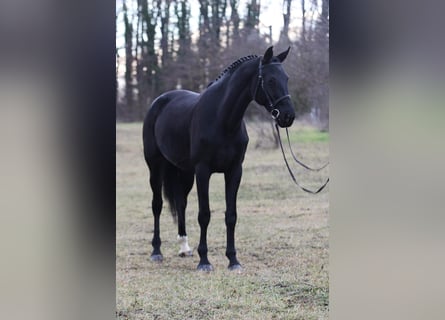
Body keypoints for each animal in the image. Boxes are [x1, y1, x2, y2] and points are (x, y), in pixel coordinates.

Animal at [143, 46, 294, 272]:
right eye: (270, 80)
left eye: (286, 78)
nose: (288, 116)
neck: (222, 119)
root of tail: (159, 101)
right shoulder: (203, 171)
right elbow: (204, 215)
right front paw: (204, 261)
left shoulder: (234, 171)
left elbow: (231, 216)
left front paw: (233, 261)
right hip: (156, 166)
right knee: (157, 205)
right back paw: (156, 251)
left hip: (184, 172)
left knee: (180, 203)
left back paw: (184, 248)